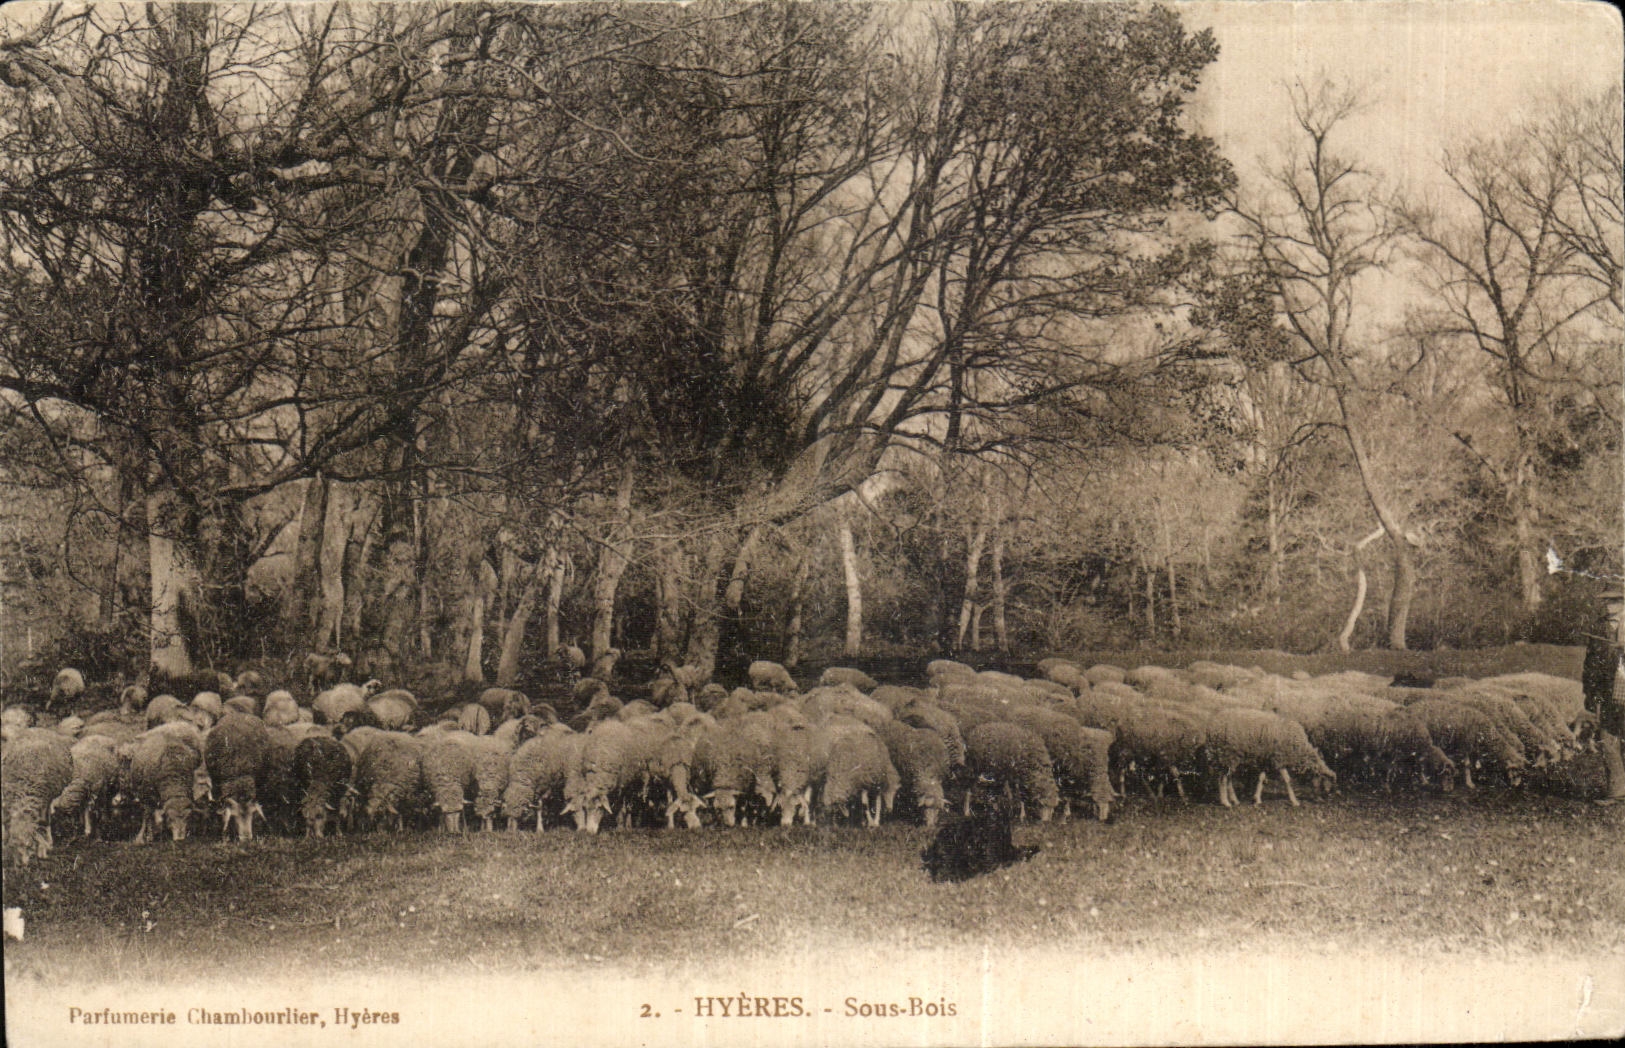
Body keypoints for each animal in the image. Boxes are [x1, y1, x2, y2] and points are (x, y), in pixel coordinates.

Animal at [2, 728, 74, 865]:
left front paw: (47, 845)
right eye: (13, 846)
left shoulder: (44, 799)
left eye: (29, 845)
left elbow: (44, 822)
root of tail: (36, 728)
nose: (22, 865)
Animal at [1203, 707, 1335, 807]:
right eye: (1326, 783)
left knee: (1228, 777)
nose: (1324, 800)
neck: (1299, 748)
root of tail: (1212, 726)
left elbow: (1261, 778)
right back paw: (1226, 802)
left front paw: (1257, 799)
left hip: (1231, 757)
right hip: (1227, 753)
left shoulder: (1266, 760)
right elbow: (1287, 780)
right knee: (1223, 778)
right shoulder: (1279, 759)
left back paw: (1234, 800)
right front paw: (1294, 801)